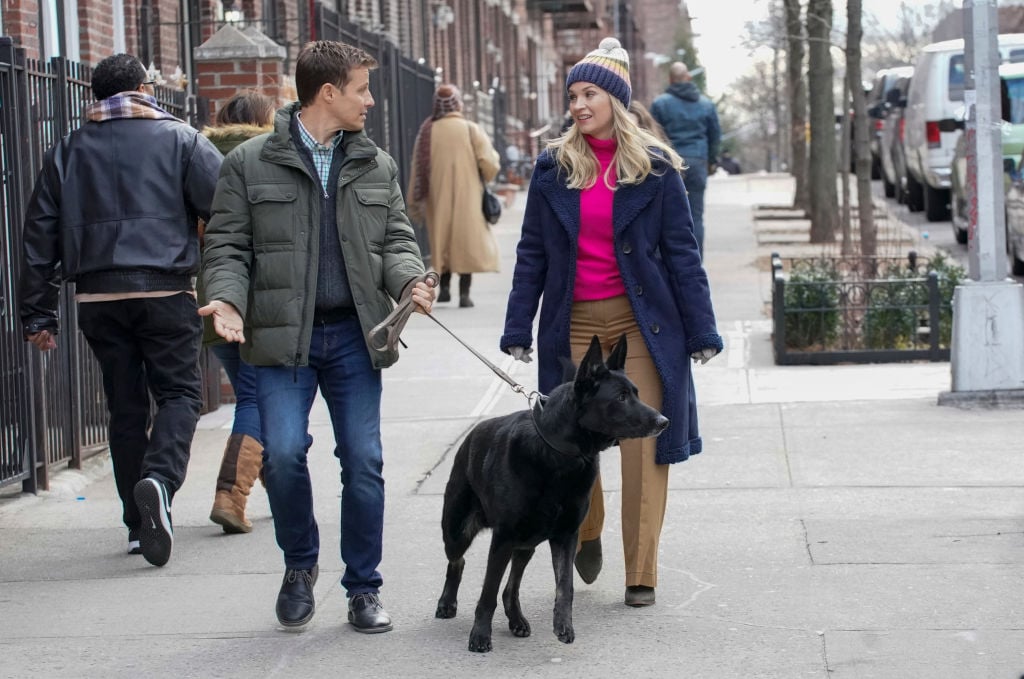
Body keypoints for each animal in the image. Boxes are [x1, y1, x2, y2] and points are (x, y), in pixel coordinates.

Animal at [434, 333, 667, 655]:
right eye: (620, 398)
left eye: (636, 393)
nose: (663, 421)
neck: (559, 454)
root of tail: (469, 438)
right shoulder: (503, 537)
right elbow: (488, 590)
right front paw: (480, 635)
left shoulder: (565, 536)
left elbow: (564, 585)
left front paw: (563, 624)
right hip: (458, 532)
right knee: (458, 563)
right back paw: (447, 603)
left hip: (525, 544)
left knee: (510, 588)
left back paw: (516, 619)